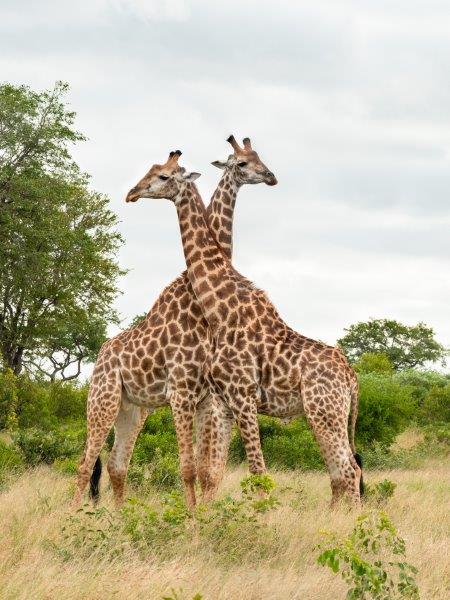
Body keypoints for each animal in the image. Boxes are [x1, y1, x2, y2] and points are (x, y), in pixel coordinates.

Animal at [74, 138, 274, 508]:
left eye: (163, 175)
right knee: (85, 464)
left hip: (133, 409)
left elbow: (209, 470)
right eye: (241, 163)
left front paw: (203, 516)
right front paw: (194, 519)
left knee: (116, 464)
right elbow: (192, 469)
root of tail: (102, 354)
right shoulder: (184, 393)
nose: (132, 193)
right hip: (102, 400)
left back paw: (117, 519)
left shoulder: (205, 399)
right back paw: (74, 517)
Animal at [125, 150, 364, 506]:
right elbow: (213, 472)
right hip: (323, 415)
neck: (220, 310)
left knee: (349, 470)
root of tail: (352, 378)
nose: (132, 193)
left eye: (164, 176)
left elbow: (257, 473)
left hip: (325, 412)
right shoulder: (224, 403)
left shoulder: (242, 396)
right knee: (341, 473)